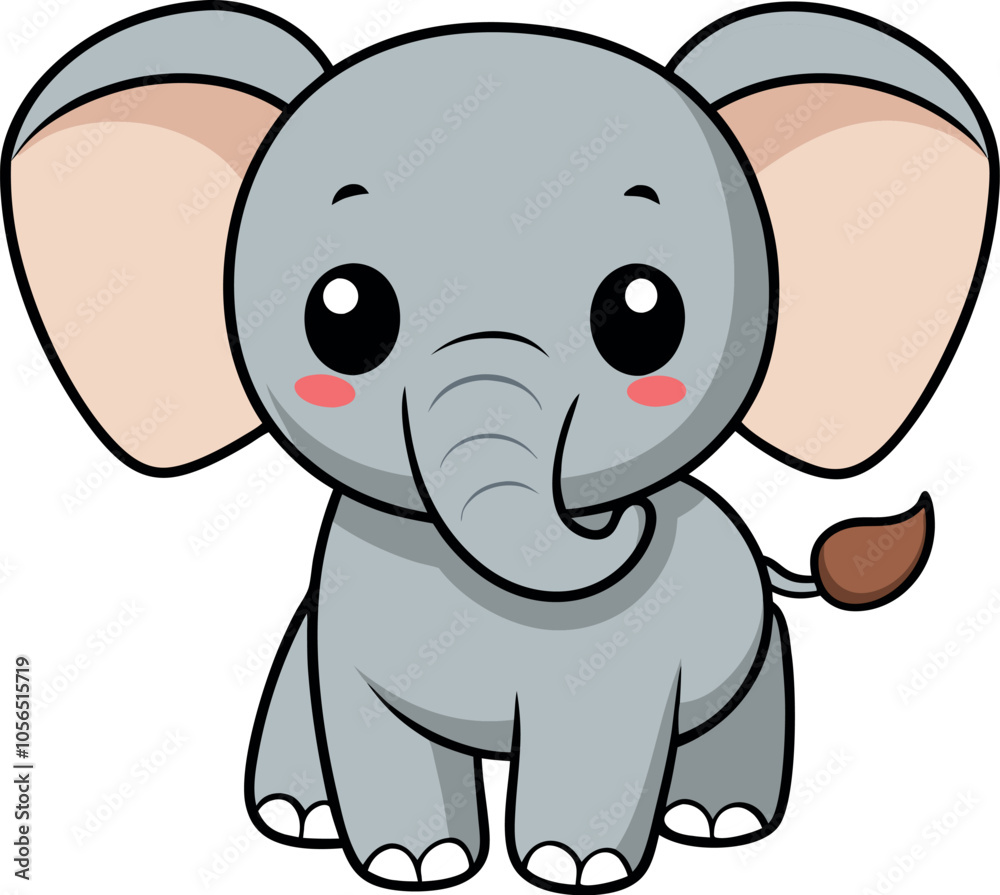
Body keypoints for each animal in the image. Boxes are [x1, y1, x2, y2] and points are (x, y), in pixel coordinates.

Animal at [3, 1, 995, 890]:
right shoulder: (350, 611)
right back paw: (297, 816)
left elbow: (600, 730)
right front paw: (415, 866)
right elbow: (373, 726)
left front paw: (572, 867)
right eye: (342, 313)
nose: (621, 516)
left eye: (644, 315)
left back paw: (717, 820)